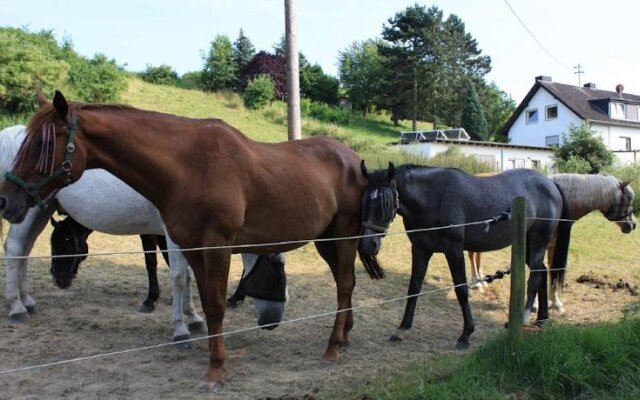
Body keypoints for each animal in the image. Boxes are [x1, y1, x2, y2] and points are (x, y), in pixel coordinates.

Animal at [0, 91, 382, 394]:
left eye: (41, 144)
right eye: (27, 143)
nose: (6, 200)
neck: (188, 166)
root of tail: (353, 159)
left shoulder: (216, 247)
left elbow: (213, 303)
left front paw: (214, 368)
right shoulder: (193, 248)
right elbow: (202, 298)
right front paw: (206, 348)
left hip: (344, 235)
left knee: (344, 285)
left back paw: (333, 347)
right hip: (326, 240)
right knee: (345, 283)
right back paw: (345, 336)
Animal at [358, 162, 572, 350]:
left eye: (384, 202)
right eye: (365, 201)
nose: (368, 245)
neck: (434, 198)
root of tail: (550, 184)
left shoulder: (454, 250)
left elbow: (461, 290)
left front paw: (466, 334)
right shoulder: (420, 250)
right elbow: (414, 288)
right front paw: (402, 328)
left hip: (538, 242)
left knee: (534, 278)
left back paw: (524, 318)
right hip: (527, 246)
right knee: (542, 272)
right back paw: (541, 319)